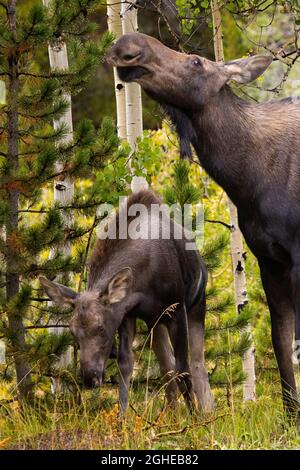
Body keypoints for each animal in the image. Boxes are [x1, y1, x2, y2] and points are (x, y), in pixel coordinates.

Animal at [39, 189, 213, 414]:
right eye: (72, 331)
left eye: (101, 327)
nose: (90, 378)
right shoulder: (127, 314)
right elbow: (126, 366)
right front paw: (121, 418)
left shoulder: (177, 311)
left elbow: (184, 369)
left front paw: (194, 418)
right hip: (155, 323)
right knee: (166, 367)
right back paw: (172, 414)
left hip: (197, 305)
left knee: (197, 363)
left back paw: (207, 410)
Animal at [109, 32, 300, 418]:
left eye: (196, 61)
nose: (128, 45)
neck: (246, 180)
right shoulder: (269, 259)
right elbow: (281, 341)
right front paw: (291, 413)